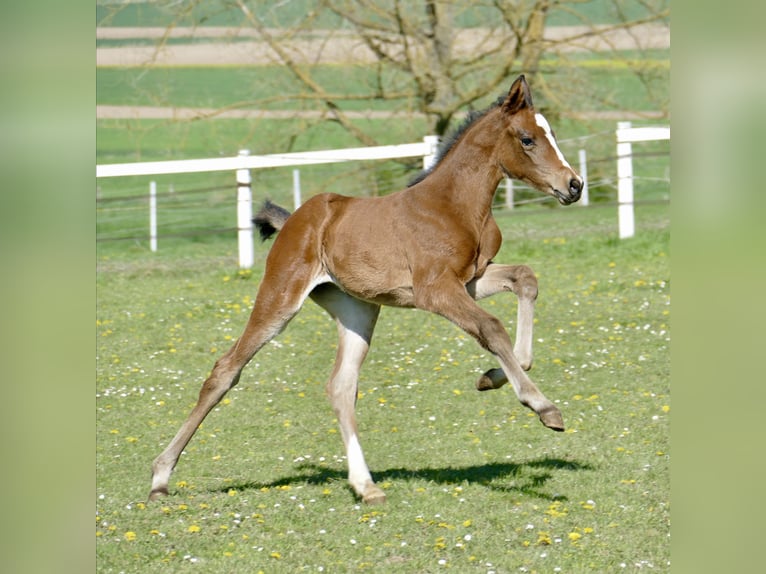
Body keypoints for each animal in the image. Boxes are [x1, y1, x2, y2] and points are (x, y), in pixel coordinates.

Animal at [149, 74, 583, 505]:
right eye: (527, 139)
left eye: (551, 134)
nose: (575, 185)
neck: (455, 205)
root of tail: (295, 220)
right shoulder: (435, 289)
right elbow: (492, 327)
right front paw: (543, 407)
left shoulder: (471, 280)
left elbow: (525, 280)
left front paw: (491, 377)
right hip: (280, 297)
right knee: (226, 370)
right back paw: (160, 478)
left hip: (357, 310)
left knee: (341, 386)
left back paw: (366, 485)